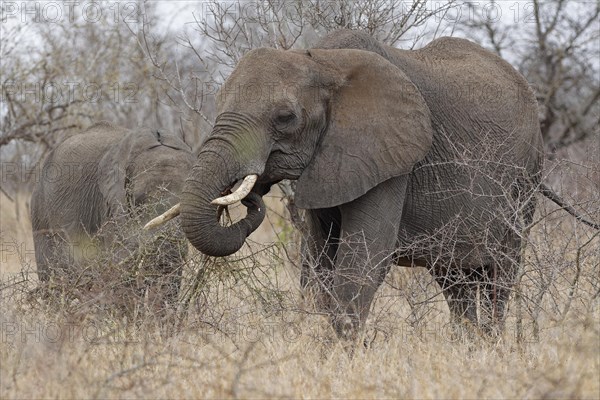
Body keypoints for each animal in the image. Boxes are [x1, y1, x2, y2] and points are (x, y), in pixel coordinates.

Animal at [164, 29, 596, 340]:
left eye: (285, 117)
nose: (252, 195)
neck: (323, 62)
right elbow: (318, 265)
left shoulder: (391, 158)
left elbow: (361, 262)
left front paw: (337, 359)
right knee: (454, 278)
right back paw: (468, 347)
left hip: (525, 177)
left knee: (499, 273)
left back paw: (490, 347)